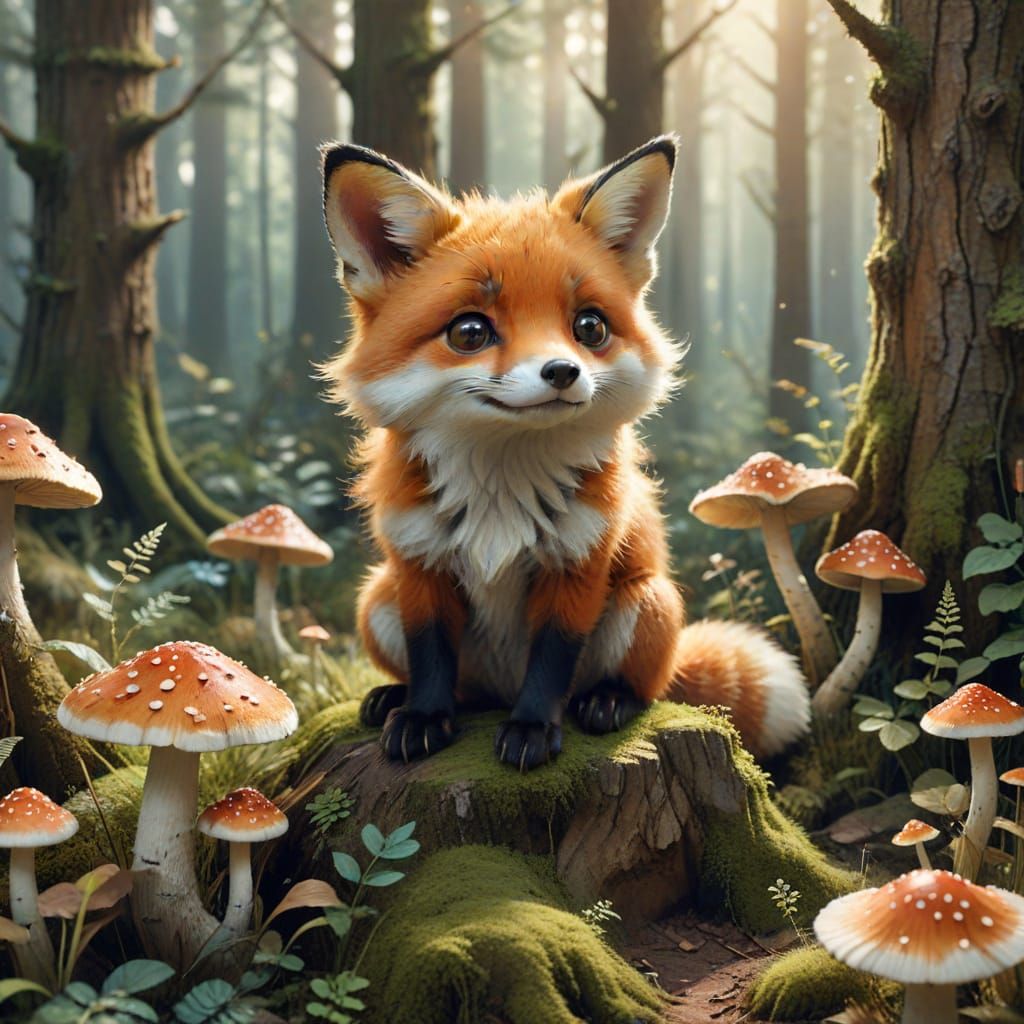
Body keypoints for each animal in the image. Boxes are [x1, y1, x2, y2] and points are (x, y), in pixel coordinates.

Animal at [319, 134, 810, 771]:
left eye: (589, 327)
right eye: (470, 332)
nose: (562, 371)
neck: (500, 493)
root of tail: (495, 690)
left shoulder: (579, 561)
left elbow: (552, 662)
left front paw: (531, 729)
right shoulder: (419, 562)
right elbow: (430, 657)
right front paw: (424, 717)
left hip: (647, 601)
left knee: (647, 686)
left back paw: (609, 701)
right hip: (377, 597)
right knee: (459, 686)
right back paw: (392, 698)